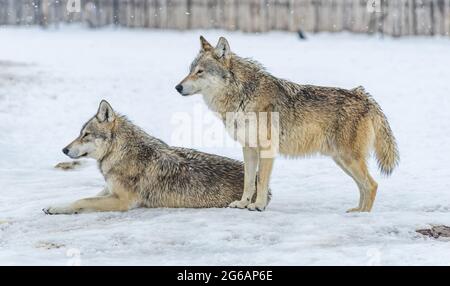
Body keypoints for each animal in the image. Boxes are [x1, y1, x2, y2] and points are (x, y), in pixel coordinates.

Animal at [45, 99, 260, 213]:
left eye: (86, 135)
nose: (64, 150)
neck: (120, 152)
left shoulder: (122, 201)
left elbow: (82, 201)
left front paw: (57, 209)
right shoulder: (108, 189)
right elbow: (80, 198)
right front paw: (56, 206)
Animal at [174, 35, 400, 212]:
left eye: (200, 71)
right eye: (190, 70)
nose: (177, 87)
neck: (241, 96)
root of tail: (365, 97)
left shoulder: (267, 149)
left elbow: (261, 181)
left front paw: (258, 206)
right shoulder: (248, 148)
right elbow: (248, 182)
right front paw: (243, 203)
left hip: (348, 158)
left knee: (372, 185)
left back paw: (363, 217)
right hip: (341, 160)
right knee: (364, 187)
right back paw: (356, 212)